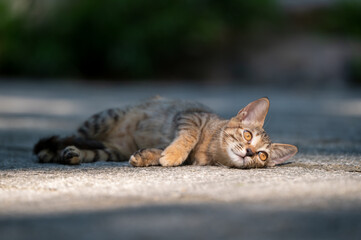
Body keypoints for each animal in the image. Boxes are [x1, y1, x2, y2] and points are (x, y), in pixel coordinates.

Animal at [33, 96, 296, 169]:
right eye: (248, 135)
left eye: (263, 156)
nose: (250, 152)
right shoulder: (190, 117)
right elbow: (187, 137)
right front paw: (173, 154)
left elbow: (158, 150)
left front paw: (148, 156)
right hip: (103, 120)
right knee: (72, 135)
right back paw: (51, 150)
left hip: (110, 152)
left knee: (89, 150)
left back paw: (70, 154)